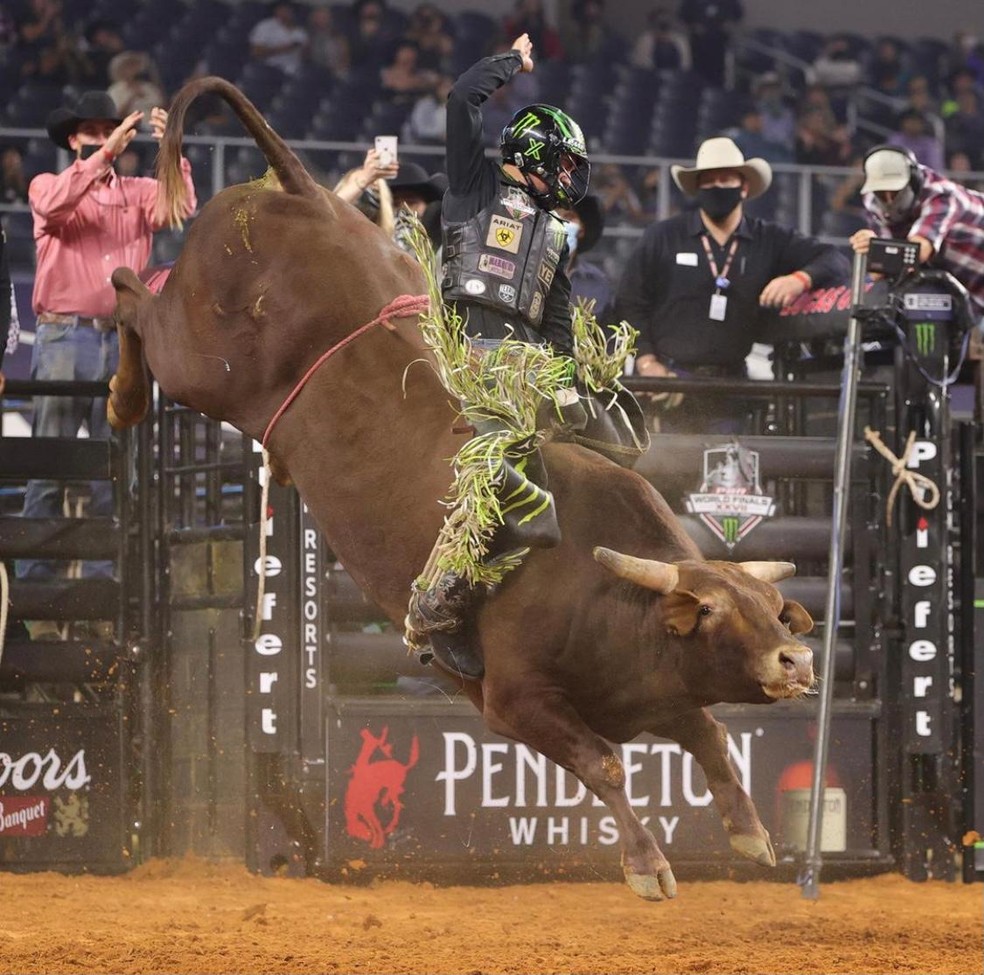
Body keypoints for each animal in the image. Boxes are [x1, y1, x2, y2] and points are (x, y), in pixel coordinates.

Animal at [109, 76, 816, 900]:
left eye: (769, 606)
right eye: (709, 610)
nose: (796, 661)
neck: (602, 591)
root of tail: (302, 192)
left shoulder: (654, 690)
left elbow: (711, 736)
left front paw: (751, 833)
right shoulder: (513, 702)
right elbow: (606, 766)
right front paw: (648, 867)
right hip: (198, 356)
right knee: (132, 295)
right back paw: (121, 396)